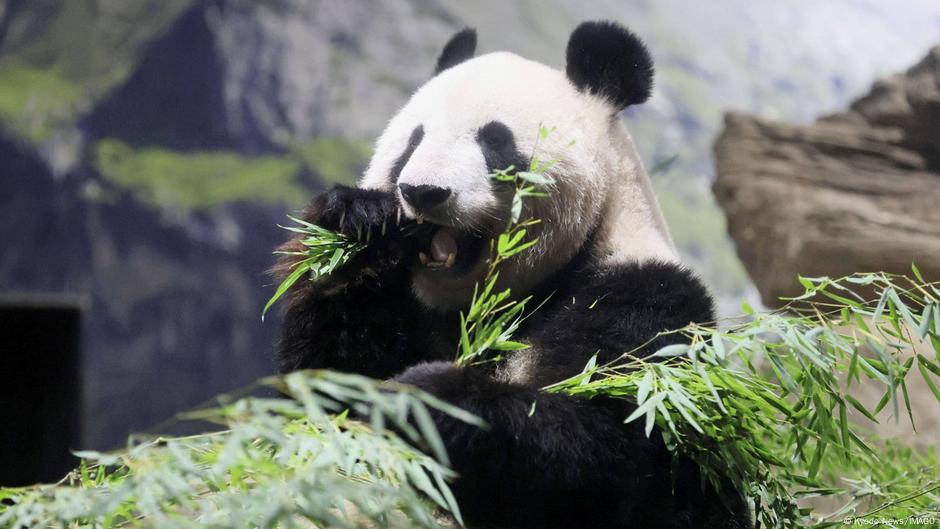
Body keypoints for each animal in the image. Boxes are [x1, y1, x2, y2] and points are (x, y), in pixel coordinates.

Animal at [276, 19, 752, 528]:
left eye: (494, 141)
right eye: (413, 140)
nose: (423, 191)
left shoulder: (645, 301)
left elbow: (621, 451)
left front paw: (428, 397)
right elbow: (318, 393)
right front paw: (359, 223)